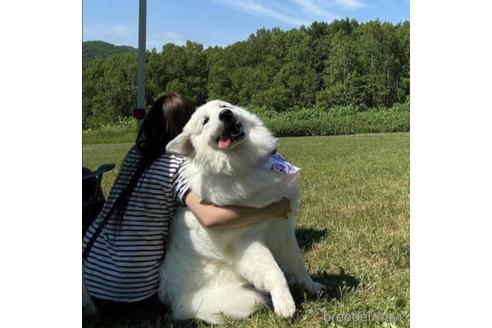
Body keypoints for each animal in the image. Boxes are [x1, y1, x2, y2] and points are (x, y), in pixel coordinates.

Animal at [160, 99, 324, 322]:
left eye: (223, 106)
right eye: (205, 120)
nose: (226, 114)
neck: (243, 164)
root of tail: (177, 302)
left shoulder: (283, 230)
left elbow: (298, 263)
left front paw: (311, 287)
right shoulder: (247, 243)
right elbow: (274, 272)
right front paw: (285, 304)